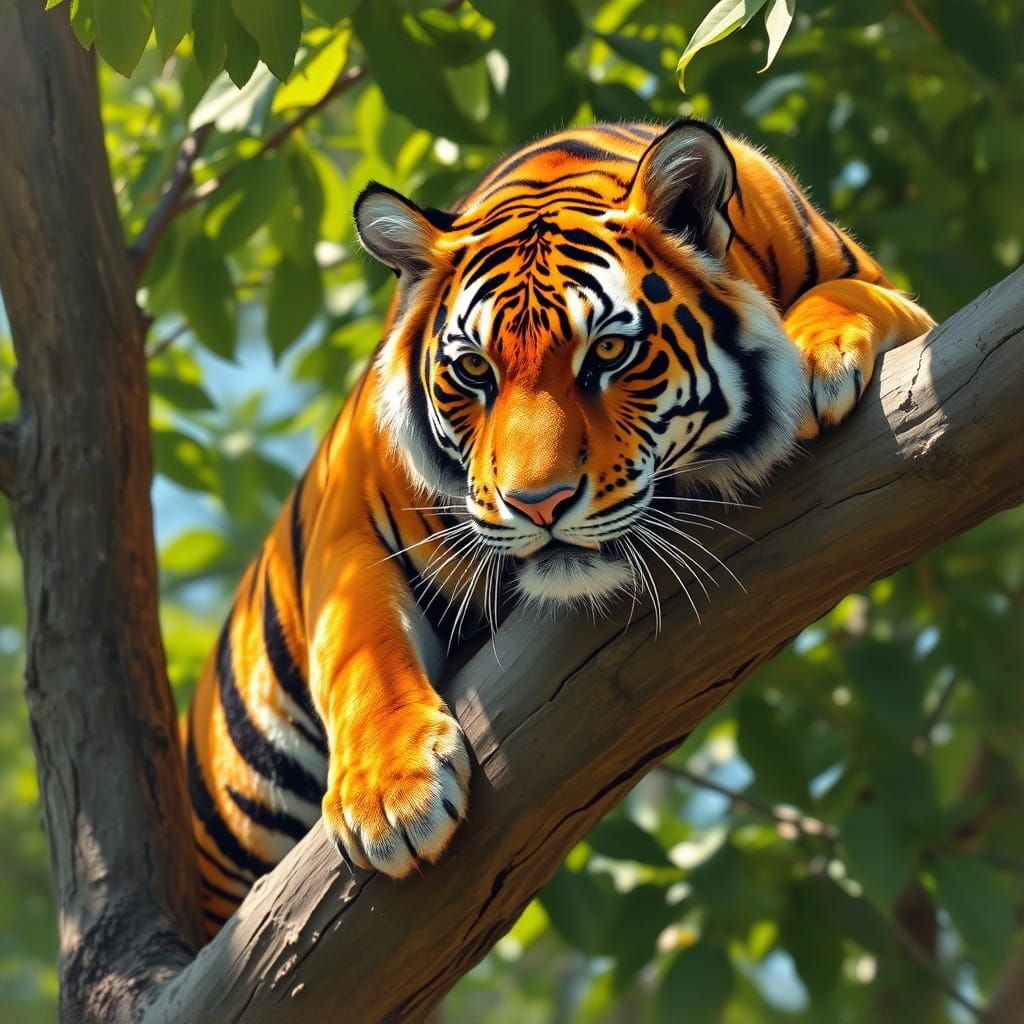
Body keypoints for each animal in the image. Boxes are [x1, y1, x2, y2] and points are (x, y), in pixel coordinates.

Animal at [183, 119, 934, 934]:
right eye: (474, 371)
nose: (538, 504)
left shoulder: (902, 303)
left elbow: (851, 294)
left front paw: (812, 359)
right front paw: (391, 797)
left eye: (608, 351)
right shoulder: (349, 516)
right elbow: (361, 655)